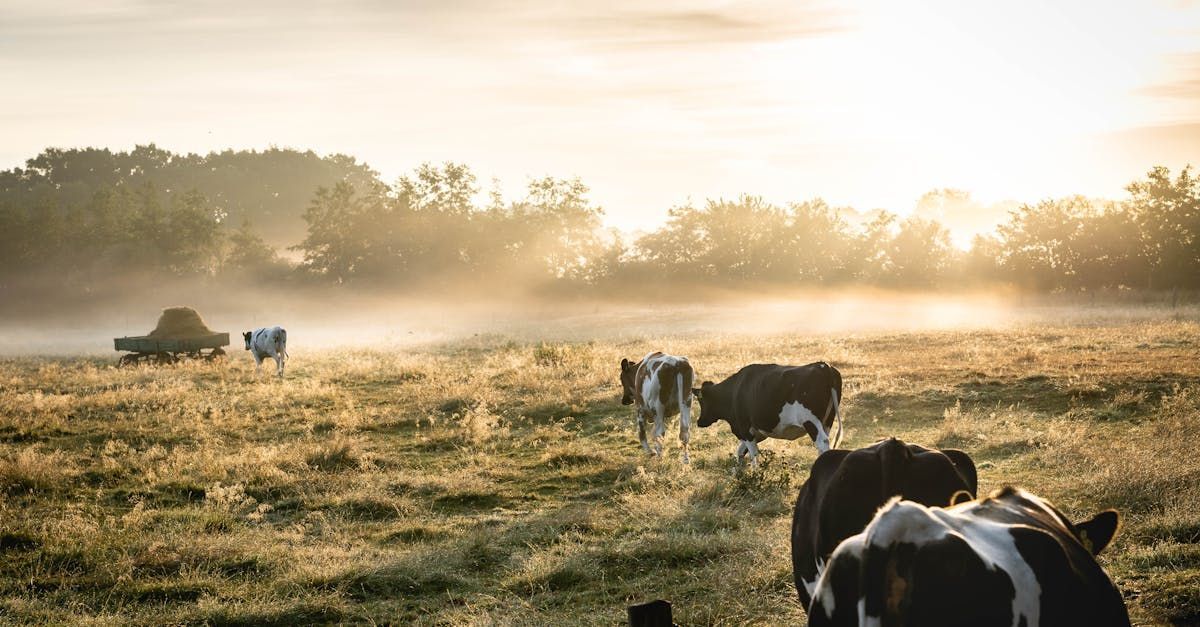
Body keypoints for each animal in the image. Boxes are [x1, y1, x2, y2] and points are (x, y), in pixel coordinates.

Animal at [691, 360, 849, 463]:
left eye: (701, 401)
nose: (699, 422)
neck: (735, 390)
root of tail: (823, 365)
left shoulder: (745, 428)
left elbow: (753, 454)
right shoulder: (758, 432)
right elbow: (741, 451)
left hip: (811, 421)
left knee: (822, 442)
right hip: (827, 421)